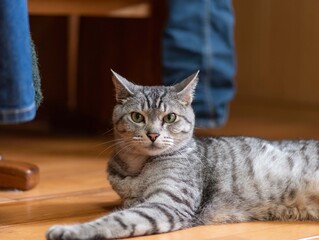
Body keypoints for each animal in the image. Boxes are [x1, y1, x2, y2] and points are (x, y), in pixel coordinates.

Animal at [46, 70, 319, 239]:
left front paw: (71, 230)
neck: (137, 170)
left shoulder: (169, 203)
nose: (153, 134)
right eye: (137, 117)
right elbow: (127, 207)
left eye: (170, 118)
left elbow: (118, 219)